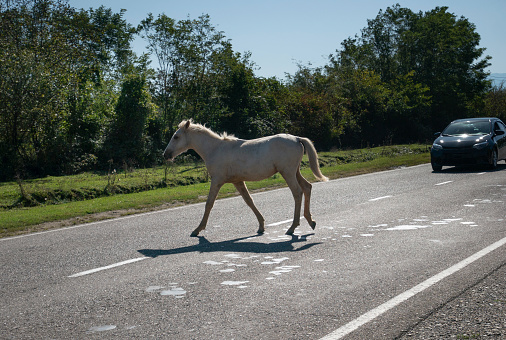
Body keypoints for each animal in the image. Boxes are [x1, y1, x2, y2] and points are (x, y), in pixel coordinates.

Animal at [163, 119, 328, 236]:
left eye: (176, 136)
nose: (166, 154)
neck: (215, 149)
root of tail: (297, 138)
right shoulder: (238, 181)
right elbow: (249, 201)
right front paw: (261, 226)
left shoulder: (217, 181)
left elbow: (209, 203)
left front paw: (197, 229)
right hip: (295, 172)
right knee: (307, 187)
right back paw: (310, 221)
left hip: (287, 172)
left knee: (297, 193)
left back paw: (292, 227)